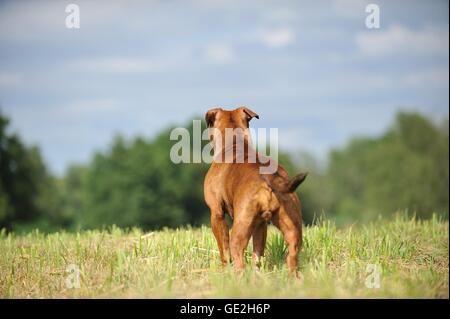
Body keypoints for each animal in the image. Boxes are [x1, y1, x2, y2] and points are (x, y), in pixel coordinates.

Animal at [203, 107, 306, 276]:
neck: (235, 143)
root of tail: (267, 176)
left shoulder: (216, 214)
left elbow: (224, 249)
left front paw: (224, 270)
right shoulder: (260, 225)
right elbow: (257, 251)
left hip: (240, 228)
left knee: (237, 256)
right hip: (292, 227)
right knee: (291, 256)